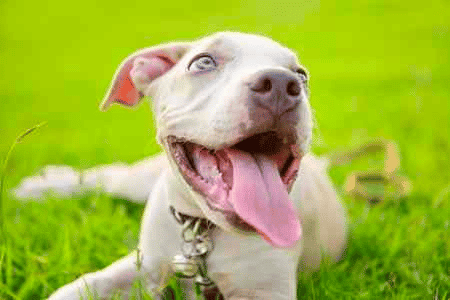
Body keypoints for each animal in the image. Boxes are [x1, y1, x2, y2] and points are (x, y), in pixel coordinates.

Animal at [13, 31, 344, 298]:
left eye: (302, 75)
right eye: (203, 62)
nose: (281, 83)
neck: (202, 231)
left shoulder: (265, 290)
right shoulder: (145, 263)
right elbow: (83, 286)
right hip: (138, 183)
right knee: (107, 177)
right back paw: (43, 185)